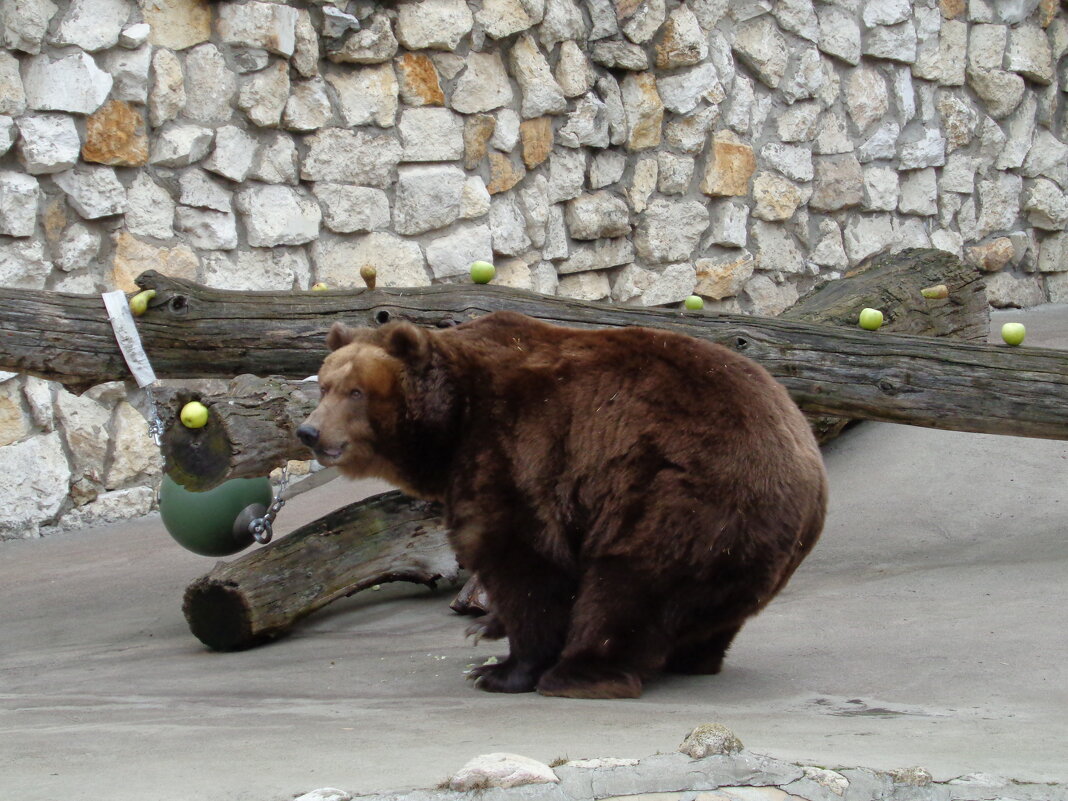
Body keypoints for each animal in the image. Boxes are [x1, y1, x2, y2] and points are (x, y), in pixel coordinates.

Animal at [296, 309, 828, 700]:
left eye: (356, 391)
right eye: (323, 385)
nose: (310, 432)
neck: (453, 421)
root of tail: (806, 455)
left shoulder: (516, 448)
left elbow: (525, 563)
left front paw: (502, 669)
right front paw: (487, 628)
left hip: (684, 497)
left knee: (628, 585)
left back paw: (579, 673)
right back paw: (696, 658)